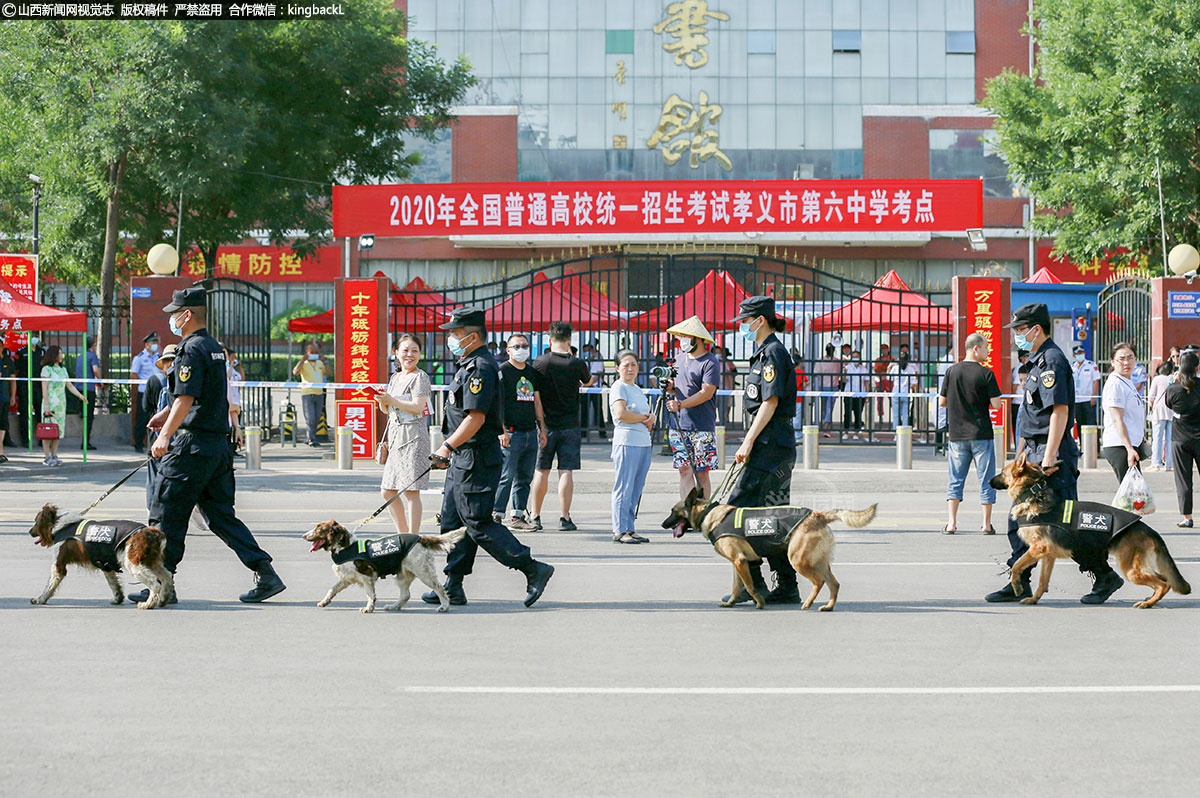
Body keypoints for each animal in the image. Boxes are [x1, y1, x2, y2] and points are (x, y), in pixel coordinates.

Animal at [28, 504, 174, 609]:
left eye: (36, 521)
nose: (30, 532)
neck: (62, 525)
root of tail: (152, 532)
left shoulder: (58, 565)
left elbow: (49, 586)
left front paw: (40, 599)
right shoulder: (106, 565)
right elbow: (114, 584)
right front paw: (117, 599)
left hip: (133, 564)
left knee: (155, 584)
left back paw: (147, 604)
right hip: (150, 562)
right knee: (167, 576)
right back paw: (163, 599)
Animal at [302, 520, 465, 612]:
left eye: (318, 529)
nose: (303, 535)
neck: (345, 547)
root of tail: (421, 538)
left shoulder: (366, 576)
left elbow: (370, 594)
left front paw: (368, 608)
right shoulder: (346, 578)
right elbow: (332, 589)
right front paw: (324, 602)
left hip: (423, 571)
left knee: (439, 588)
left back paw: (444, 607)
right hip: (403, 574)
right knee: (405, 595)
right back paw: (393, 607)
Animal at [662, 484, 878, 609]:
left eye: (673, 511)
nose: (663, 524)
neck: (708, 513)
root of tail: (817, 515)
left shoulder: (740, 561)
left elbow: (749, 586)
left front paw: (759, 602)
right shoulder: (737, 563)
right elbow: (736, 586)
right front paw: (732, 602)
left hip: (799, 560)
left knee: (818, 582)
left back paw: (808, 603)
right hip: (819, 562)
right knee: (834, 583)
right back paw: (828, 606)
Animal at [993, 451, 1190, 607]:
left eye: (1002, 473)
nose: (988, 481)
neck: (1032, 492)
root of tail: (1146, 527)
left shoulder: (1039, 548)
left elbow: (1017, 565)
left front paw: (1017, 587)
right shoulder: (1048, 555)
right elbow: (1042, 581)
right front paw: (1034, 598)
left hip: (1131, 570)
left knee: (1164, 584)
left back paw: (1147, 603)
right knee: (1164, 580)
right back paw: (1150, 599)